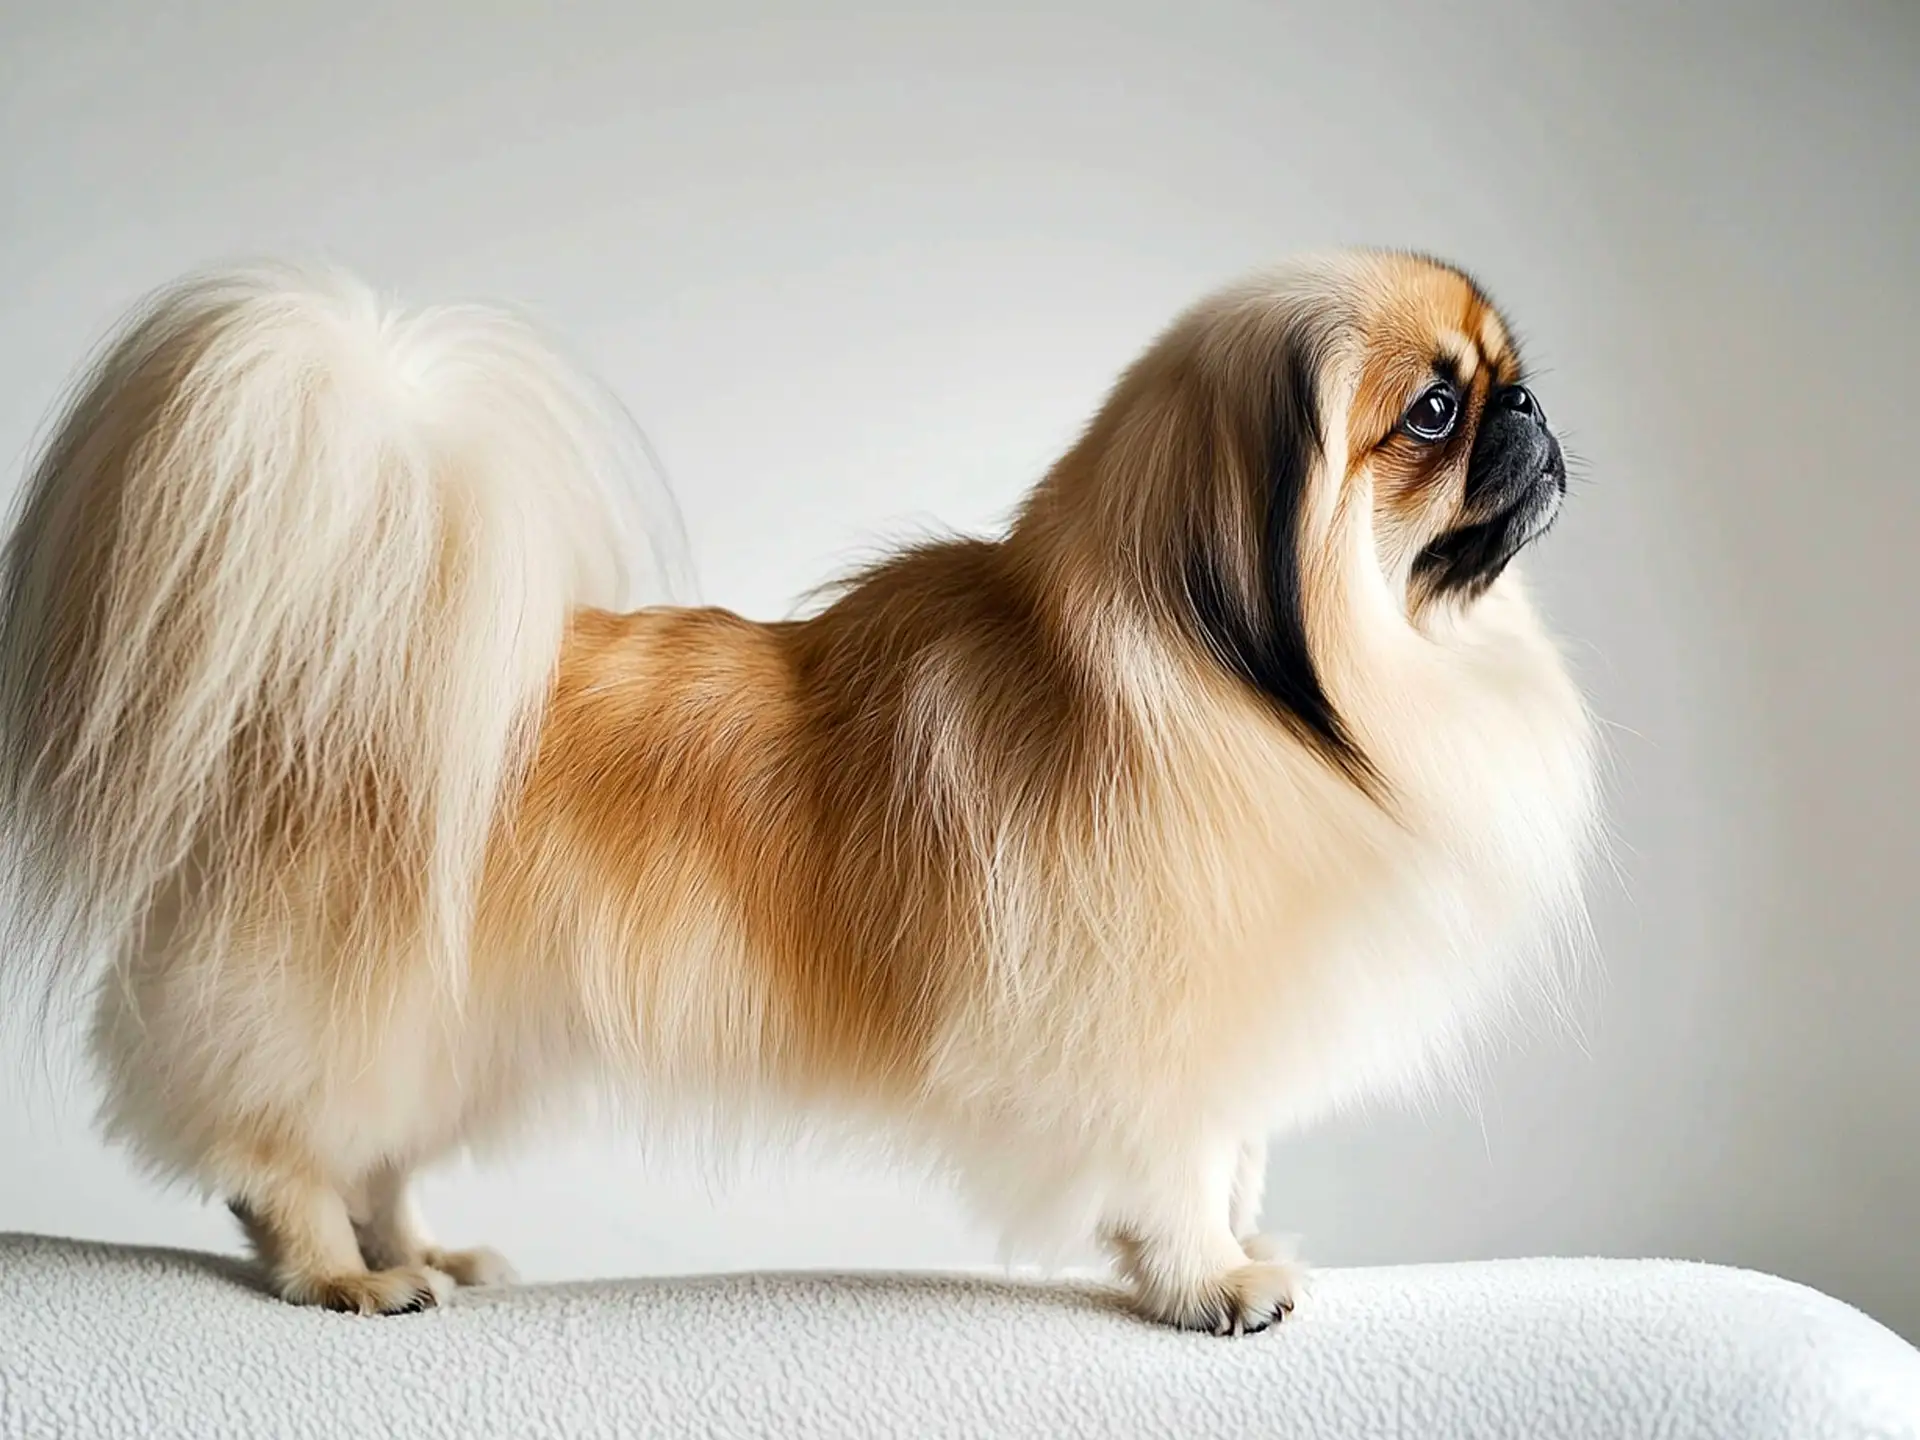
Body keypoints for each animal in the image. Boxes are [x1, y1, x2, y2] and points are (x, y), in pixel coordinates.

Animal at [0, 253, 1589, 1336]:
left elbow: (1235, 1162)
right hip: (359, 1004)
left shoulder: (1226, 1049)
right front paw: (1212, 1285)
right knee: (277, 1156)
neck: (1270, 691)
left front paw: (1238, 1256)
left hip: (455, 1028)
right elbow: (1184, 1179)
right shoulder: (1160, 1041)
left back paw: (421, 1256)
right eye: (1433, 410)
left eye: (1503, 380)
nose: (1530, 406)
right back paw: (344, 1279)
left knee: (372, 1153)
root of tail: (333, 672)